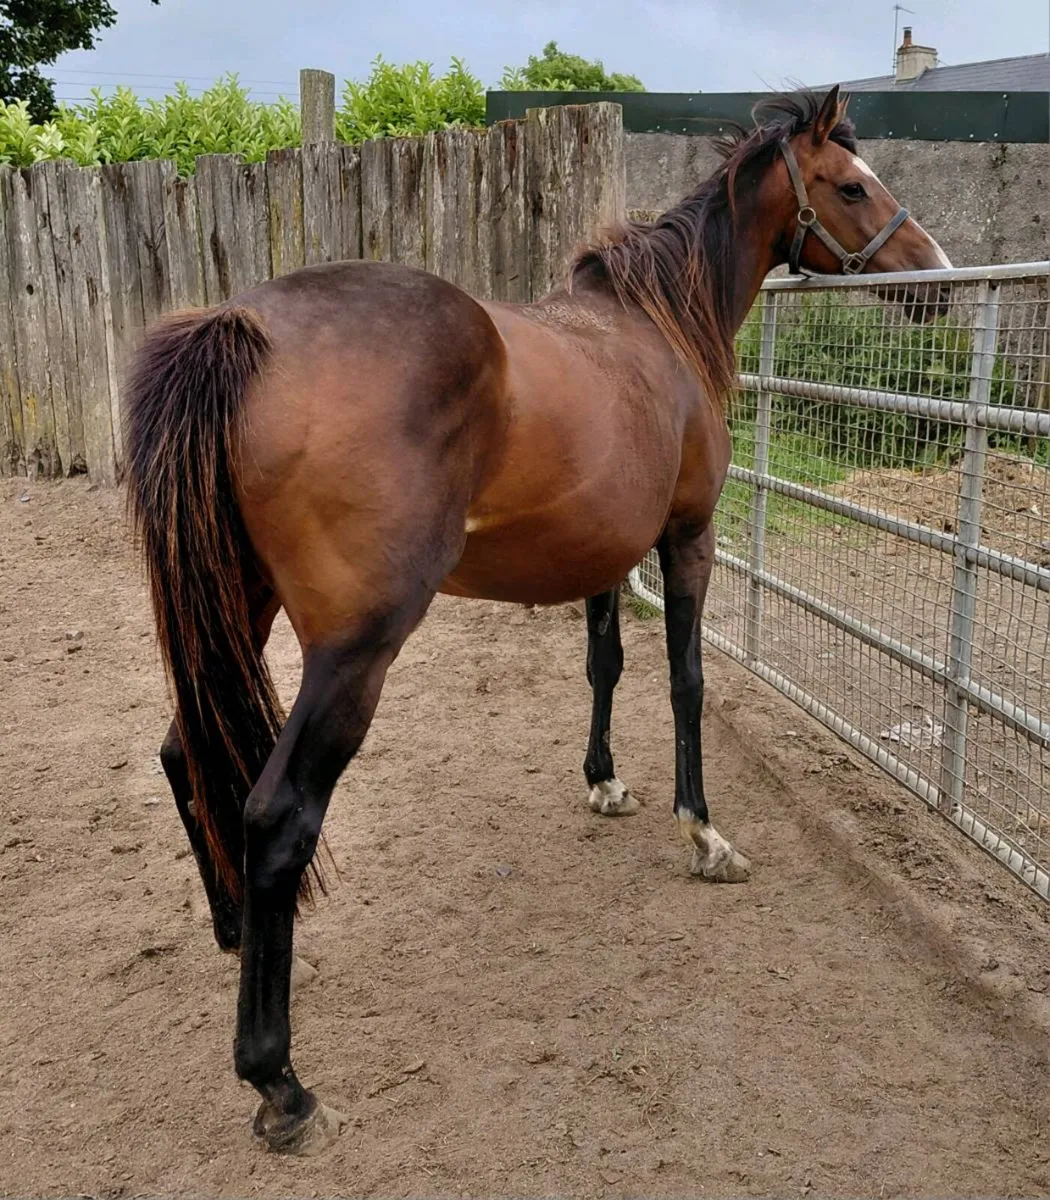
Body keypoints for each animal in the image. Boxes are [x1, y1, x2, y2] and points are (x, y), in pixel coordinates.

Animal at [124, 86, 952, 1154]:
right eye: (851, 186)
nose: (938, 281)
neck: (656, 328)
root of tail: (245, 328)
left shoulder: (604, 552)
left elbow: (605, 667)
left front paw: (604, 782)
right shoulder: (686, 539)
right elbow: (685, 681)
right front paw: (703, 834)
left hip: (240, 608)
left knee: (185, 752)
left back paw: (235, 934)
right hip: (353, 653)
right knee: (276, 815)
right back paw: (280, 1084)